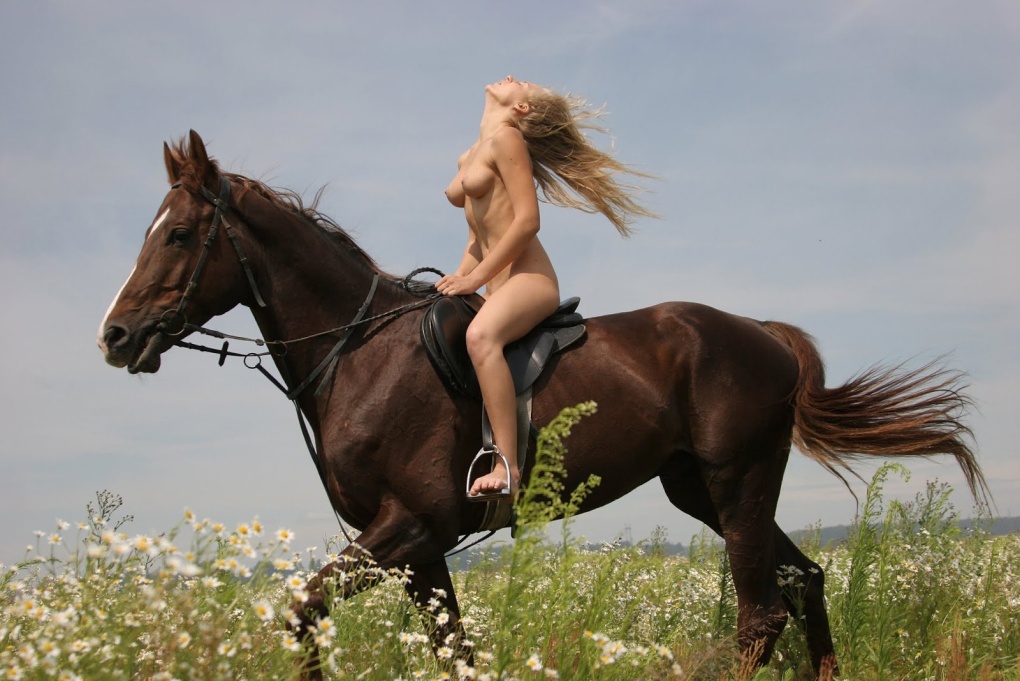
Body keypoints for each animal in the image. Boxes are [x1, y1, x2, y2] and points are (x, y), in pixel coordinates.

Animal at [97, 130, 987, 679]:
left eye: (178, 235)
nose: (114, 335)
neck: (358, 351)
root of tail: (765, 335)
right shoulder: (419, 550)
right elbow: (453, 647)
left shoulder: (408, 526)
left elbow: (304, 609)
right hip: (702, 487)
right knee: (805, 580)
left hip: (737, 483)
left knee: (761, 611)